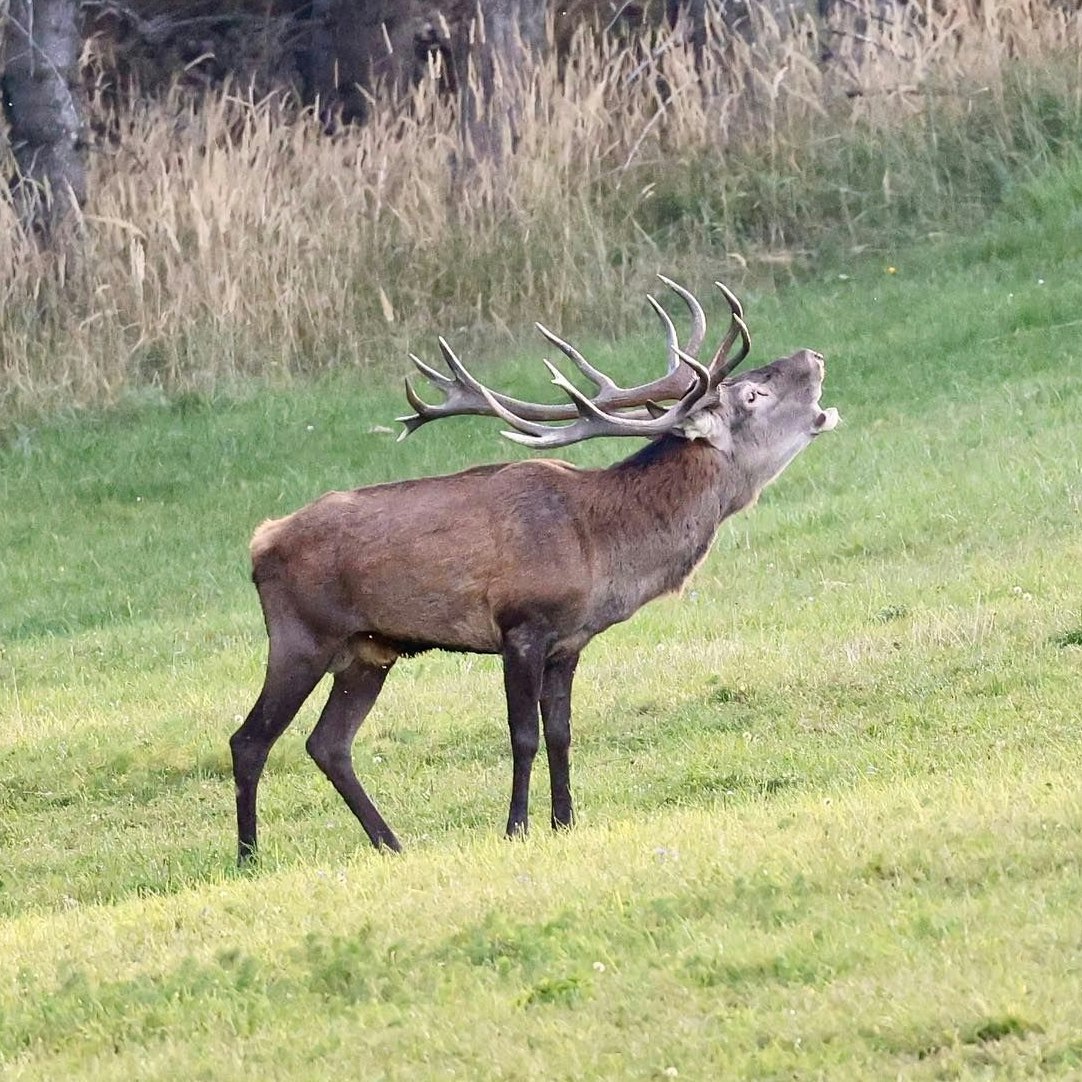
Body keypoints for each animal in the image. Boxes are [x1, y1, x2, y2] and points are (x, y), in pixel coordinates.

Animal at [230, 277, 839, 864]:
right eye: (754, 394)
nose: (814, 356)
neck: (601, 546)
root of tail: (260, 541)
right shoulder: (522, 626)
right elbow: (524, 735)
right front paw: (516, 828)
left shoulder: (570, 641)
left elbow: (562, 732)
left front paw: (565, 821)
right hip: (301, 637)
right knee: (250, 740)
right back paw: (250, 857)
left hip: (368, 652)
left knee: (328, 744)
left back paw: (391, 844)